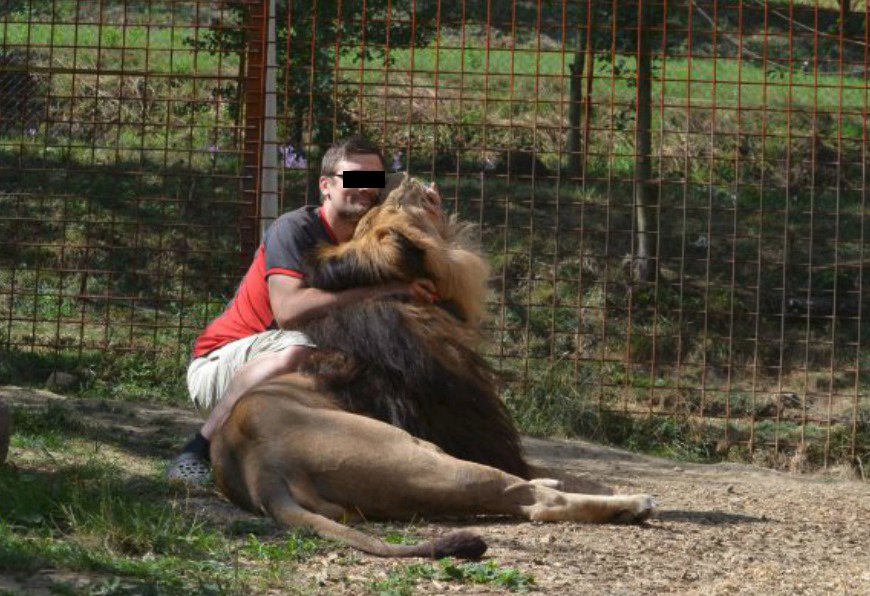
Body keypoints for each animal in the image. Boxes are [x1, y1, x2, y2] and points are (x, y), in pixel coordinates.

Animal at [211, 176, 656, 560]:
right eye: (390, 204)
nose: (400, 178)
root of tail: (262, 472)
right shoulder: (472, 430)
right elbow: (550, 472)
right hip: (419, 456)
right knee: (532, 498)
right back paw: (632, 504)